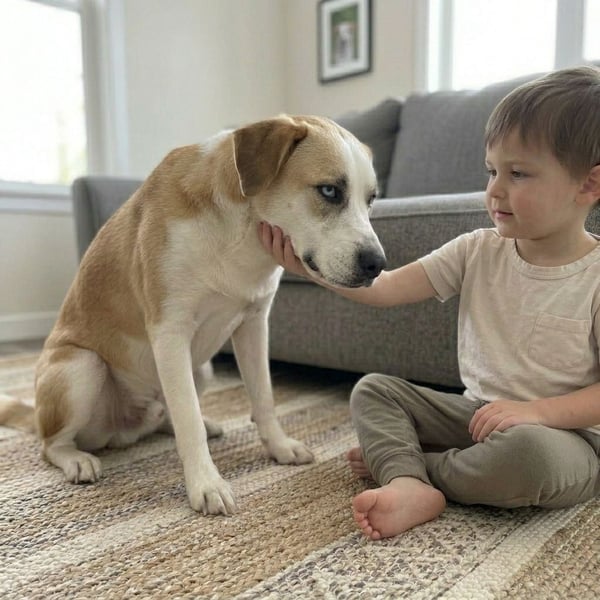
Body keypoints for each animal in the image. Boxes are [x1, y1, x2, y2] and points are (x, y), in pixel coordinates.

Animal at [0, 115, 386, 515]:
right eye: (329, 191)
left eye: (371, 199)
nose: (378, 264)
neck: (241, 233)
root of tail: (122, 431)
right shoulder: (170, 332)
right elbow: (189, 423)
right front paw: (206, 483)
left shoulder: (254, 324)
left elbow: (263, 397)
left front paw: (279, 448)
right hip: (82, 367)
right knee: (51, 444)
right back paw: (75, 459)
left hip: (201, 368)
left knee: (167, 414)